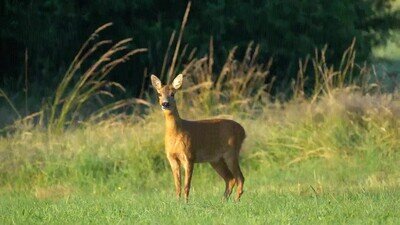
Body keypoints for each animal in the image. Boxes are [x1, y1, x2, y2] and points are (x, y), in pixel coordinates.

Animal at [150, 74, 245, 202]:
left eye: (172, 94)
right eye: (159, 94)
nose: (165, 104)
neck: (176, 133)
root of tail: (243, 131)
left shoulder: (189, 156)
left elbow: (187, 185)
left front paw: (185, 203)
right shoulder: (172, 158)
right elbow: (177, 185)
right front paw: (177, 202)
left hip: (231, 152)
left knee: (240, 177)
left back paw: (235, 201)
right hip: (216, 159)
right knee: (230, 179)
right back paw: (223, 201)